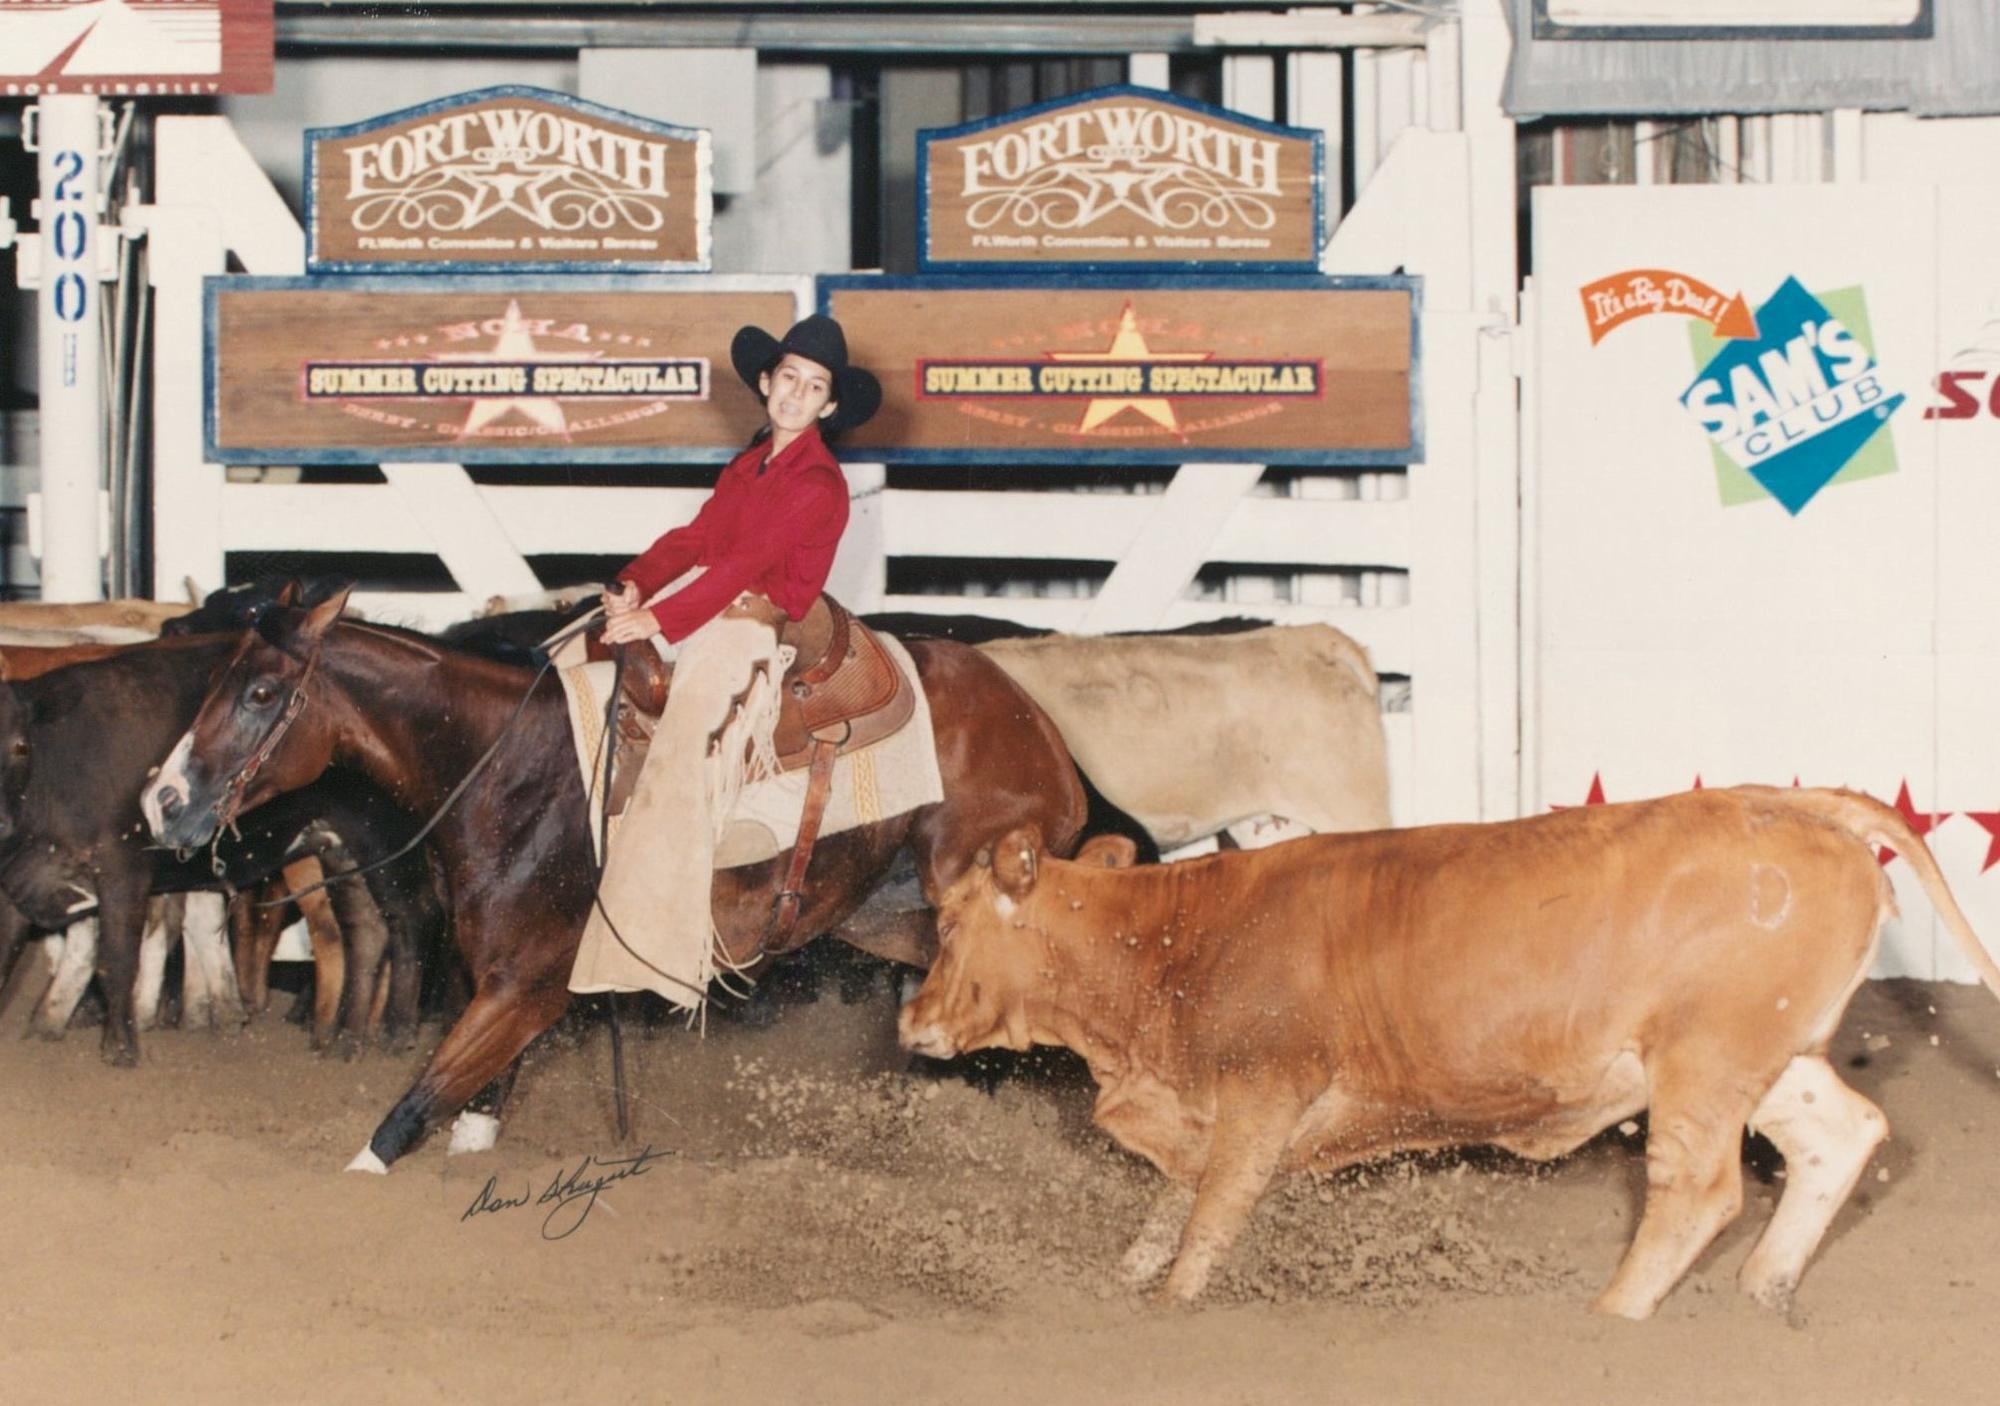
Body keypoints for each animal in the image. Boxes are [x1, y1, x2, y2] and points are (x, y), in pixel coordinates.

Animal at [142, 589, 1088, 1172]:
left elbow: (407, 1113)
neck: (515, 771)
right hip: (893, 917)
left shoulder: (526, 988)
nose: (162, 801)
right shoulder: (497, 990)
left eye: (262, 693)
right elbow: (469, 1113)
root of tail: (1042, 731)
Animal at [897, 786, 2000, 1318]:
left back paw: (1610, 1314)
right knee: (1836, 1135)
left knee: (1698, 1188)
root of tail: (1791, 800)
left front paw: (1172, 1306)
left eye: (947, 919)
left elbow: (1209, 1220)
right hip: (1762, 1056)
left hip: (1703, 1057)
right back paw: (1762, 1291)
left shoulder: (1262, 1089)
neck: (1171, 938)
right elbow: (1171, 1210)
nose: (909, 1018)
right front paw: (1123, 1288)